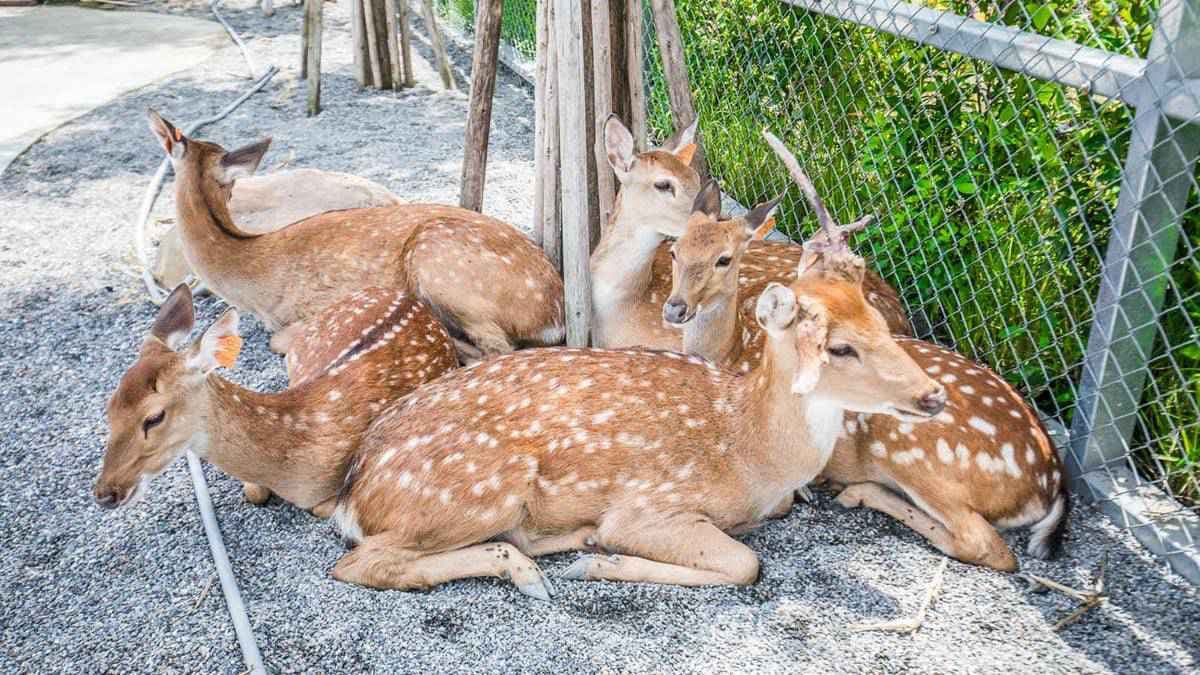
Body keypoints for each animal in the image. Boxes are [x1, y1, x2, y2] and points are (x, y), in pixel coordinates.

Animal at [93, 283, 458, 517]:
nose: (105, 493)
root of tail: (413, 298)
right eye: (108, 410)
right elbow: (253, 491)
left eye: (154, 417)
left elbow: (319, 509)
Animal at [326, 228, 946, 598]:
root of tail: (355, 490)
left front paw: (595, 554)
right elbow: (744, 564)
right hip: (480, 487)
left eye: (881, 324)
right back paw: (531, 572)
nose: (933, 395)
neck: (751, 453)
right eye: (839, 347)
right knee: (360, 564)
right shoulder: (651, 505)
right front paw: (605, 562)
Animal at [660, 130, 1069, 571]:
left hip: (918, 449)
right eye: (675, 250)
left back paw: (857, 490)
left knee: (986, 545)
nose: (676, 307)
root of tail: (1051, 480)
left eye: (724, 259)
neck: (734, 349)